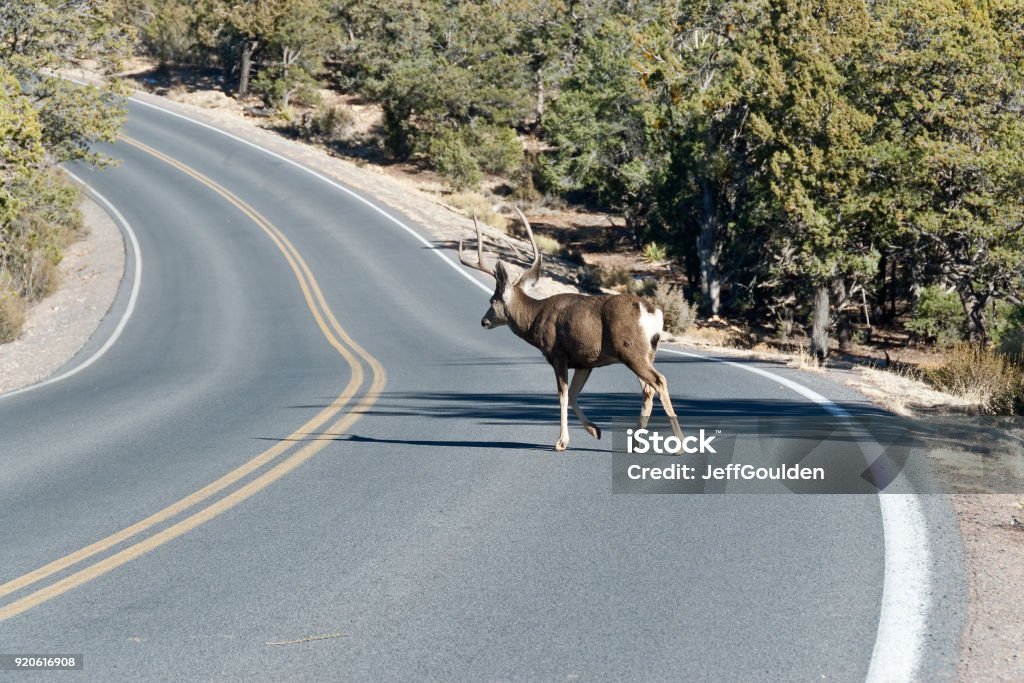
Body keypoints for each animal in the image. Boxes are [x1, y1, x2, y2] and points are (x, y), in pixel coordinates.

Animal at [460, 208, 684, 454]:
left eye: (493, 299)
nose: (484, 321)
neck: (535, 318)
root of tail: (652, 312)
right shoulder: (584, 361)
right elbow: (575, 395)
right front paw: (595, 430)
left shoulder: (558, 354)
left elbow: (563, 395)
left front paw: (561, 442)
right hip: (645, 353)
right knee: (648, 389)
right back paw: (635, 442)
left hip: (631, 350)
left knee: (659, 381)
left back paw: (679, 445)